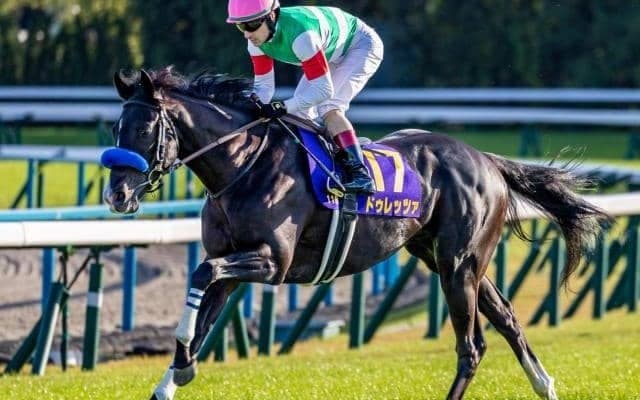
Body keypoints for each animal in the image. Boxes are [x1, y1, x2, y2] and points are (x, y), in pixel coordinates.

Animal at [102, 67, 611, 400]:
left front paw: (180, 364)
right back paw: (545, 386)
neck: (244, 166)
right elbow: (203, 307)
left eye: (145, 128)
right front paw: (175, 376)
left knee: (471, 346)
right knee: (506, 320)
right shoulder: (233, 262)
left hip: (458, 264)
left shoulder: (272, 261)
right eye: (115, 127)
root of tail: (486, 160)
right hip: (448, 259)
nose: (116, 195)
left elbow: (201, 274)